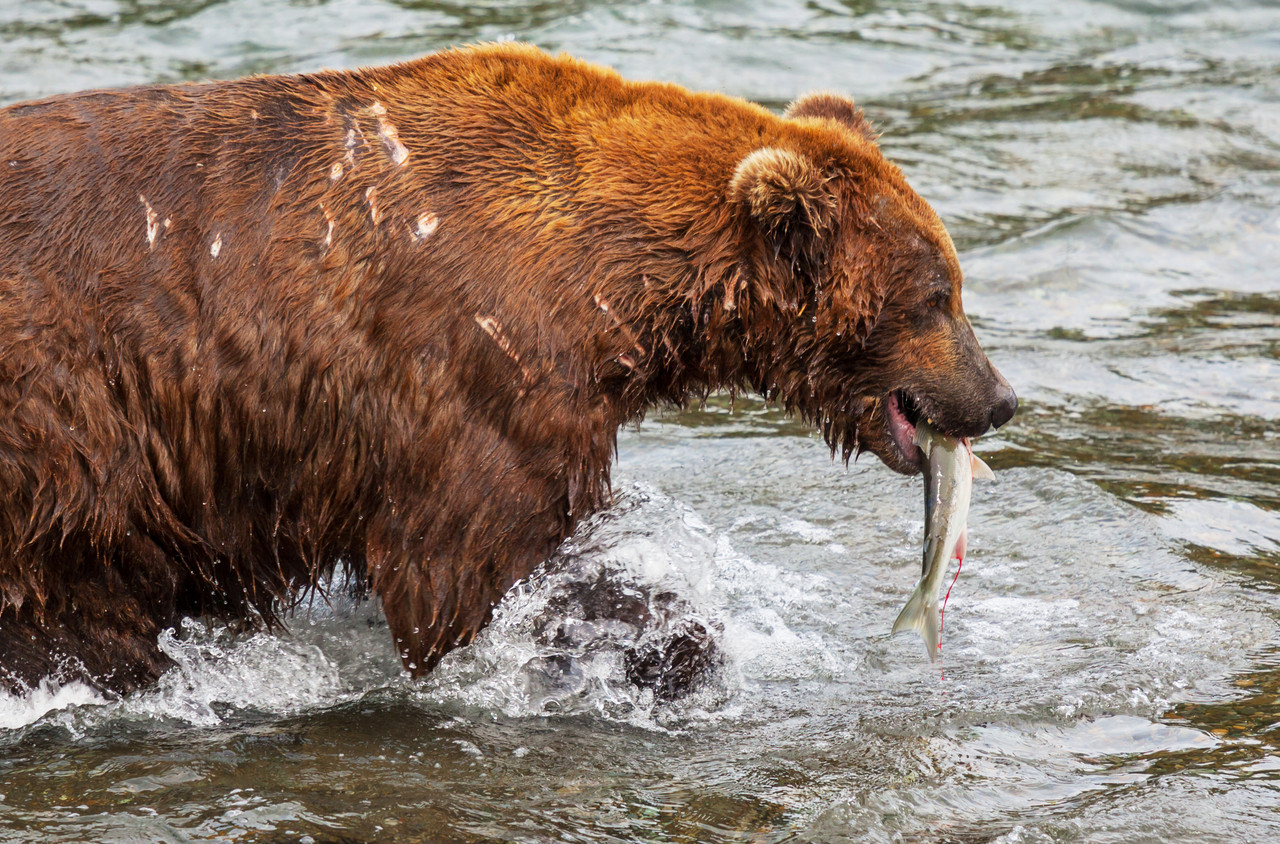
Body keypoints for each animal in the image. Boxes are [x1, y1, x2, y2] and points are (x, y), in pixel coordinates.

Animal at [0, 43, 1016, 695]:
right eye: (936, 296)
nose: (1000, 398)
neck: (615, 290)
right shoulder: (474, 371)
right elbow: (478, 567)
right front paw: (671, 646)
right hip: (69, 423)